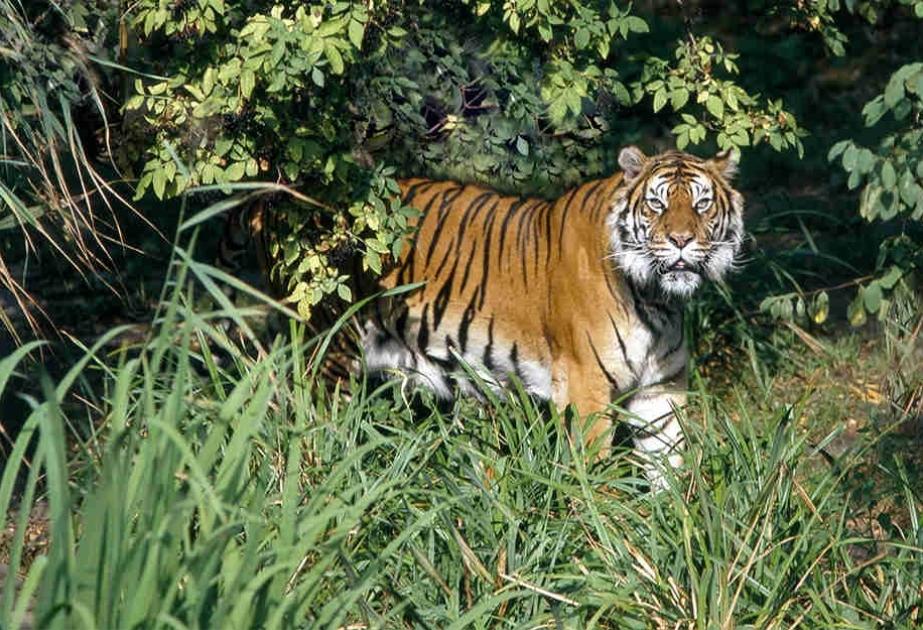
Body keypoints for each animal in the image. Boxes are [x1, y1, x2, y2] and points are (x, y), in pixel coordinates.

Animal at [226, 146, 744, 486]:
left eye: (702, 203)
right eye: (657, 203)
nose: (681, 240)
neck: (659, 300)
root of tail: (281, 197)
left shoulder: (660, 392)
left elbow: (668, 465)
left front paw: (669, 529)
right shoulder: (586, 386)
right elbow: (593, 469)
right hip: (325, 352)